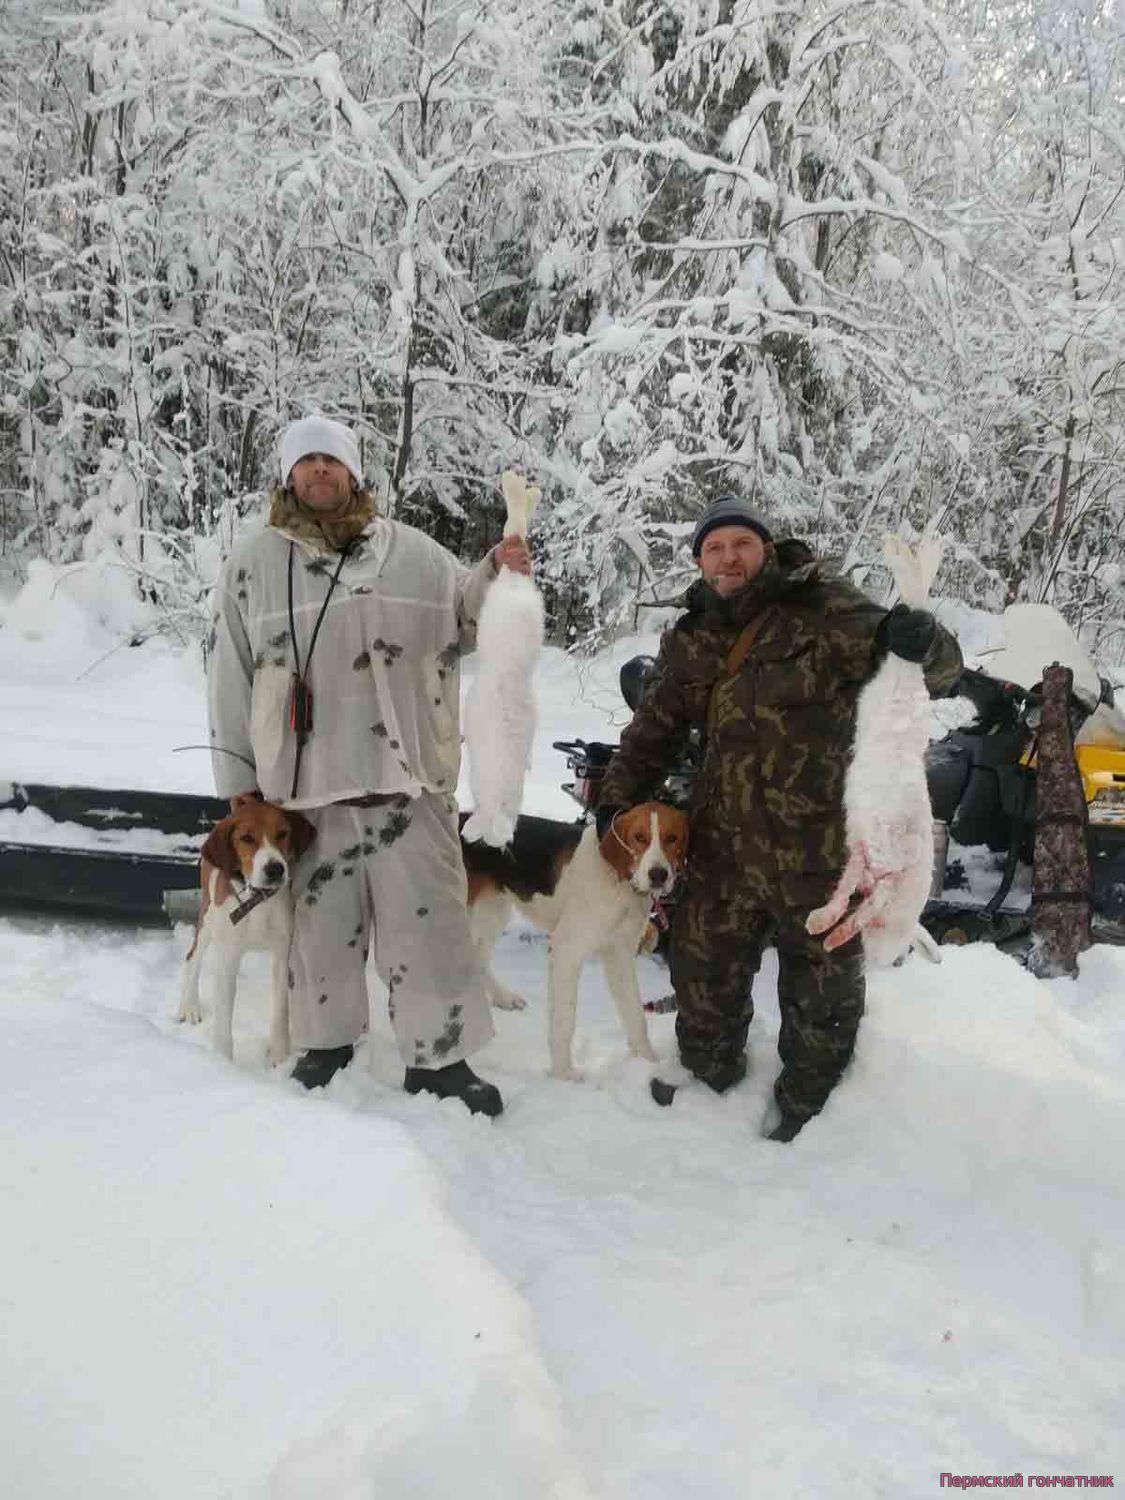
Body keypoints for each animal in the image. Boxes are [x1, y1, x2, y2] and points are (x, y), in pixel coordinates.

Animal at [176, 804, 318, 1062]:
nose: (275, 869)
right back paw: (188, 1007)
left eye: (283, 833)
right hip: (208, 917)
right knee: (192, 957)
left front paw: (279, 1056)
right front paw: (222, 1061)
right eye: (246, 838)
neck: (257, 901)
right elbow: (223, 1018)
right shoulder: (228, 957)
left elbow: (280, 1009)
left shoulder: (283, 954)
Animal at [462, 810, 693, 1080]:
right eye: (639, 837)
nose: (658, 875)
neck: (616, 879)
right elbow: (565, 1020)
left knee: (478, 959)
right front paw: (563, 1073)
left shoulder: (619, 955)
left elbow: (635, 1017)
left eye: (672, 838)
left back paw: (502, 998)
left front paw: (650, 1062)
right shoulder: (566, 952)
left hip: (493, 910)